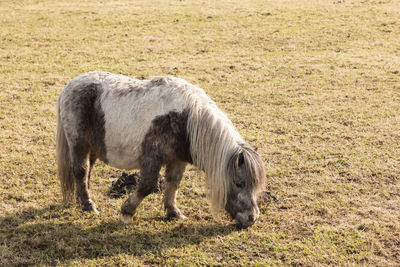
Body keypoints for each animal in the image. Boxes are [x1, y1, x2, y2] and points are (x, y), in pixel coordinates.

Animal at [56, 71, 266, 228]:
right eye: (239, 183)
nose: (252, 218)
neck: (185, 120)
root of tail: (69, 86)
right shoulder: (152, 159)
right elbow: (147, 185)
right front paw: (127, 212)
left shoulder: (177, 160)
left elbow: (173, 183)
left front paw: (173, 212)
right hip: (78, 144)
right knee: (81, 172)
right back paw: (88, 205)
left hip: (92, 148)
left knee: (86, 173)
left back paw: (83, 200)